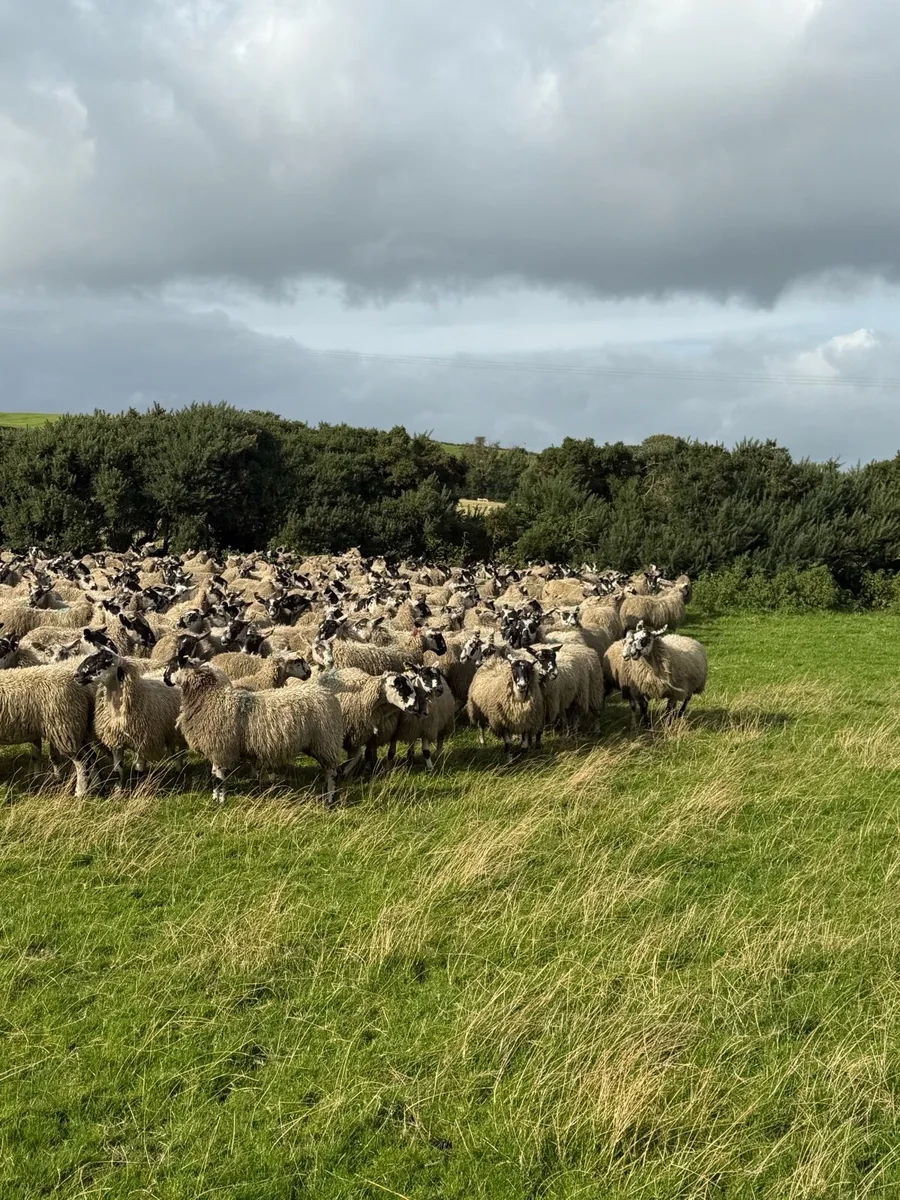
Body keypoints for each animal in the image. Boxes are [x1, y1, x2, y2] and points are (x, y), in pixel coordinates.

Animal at [0, 663, 94, 794]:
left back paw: (80, 792)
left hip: (64, 728)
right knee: (89, 757)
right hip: (74, 729)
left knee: (82, 762)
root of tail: (85, 690)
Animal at [74, 650, 183, 787]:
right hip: (170, 731)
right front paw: (118, 790)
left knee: (180, 751)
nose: (76, 675)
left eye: (100, 660)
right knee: (173, 749)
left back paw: (179, 770)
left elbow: (138, 770)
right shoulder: (115, 741)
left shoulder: (141, 742)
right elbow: (117, 771)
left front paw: (139, 788)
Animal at [163, 658, 343, 804]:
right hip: (317, 743)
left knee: (331, 772)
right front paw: (214, 798)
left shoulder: (221, 747)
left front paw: (221, 802)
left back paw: (329, 799)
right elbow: (214, 775)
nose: (165, 678)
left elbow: (219, 777)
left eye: (176, 665)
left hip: (326, 741)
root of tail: (329, 695)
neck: (210, 698)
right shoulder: (216, 749)